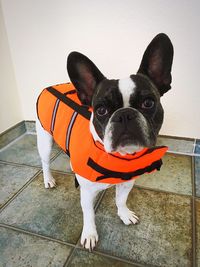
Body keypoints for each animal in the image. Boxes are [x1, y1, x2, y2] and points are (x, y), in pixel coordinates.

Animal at [36, 33, 173, 251]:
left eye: (148, 103)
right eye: (100, 110)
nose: (125, 115)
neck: (119, 157)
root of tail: (49, 87)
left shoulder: (127, 182)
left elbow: (121, 200)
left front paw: (124, 214)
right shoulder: (87, 192)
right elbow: (89, 213)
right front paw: (89, 234)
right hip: (45, 140)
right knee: (45, 162)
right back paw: (48, 179)